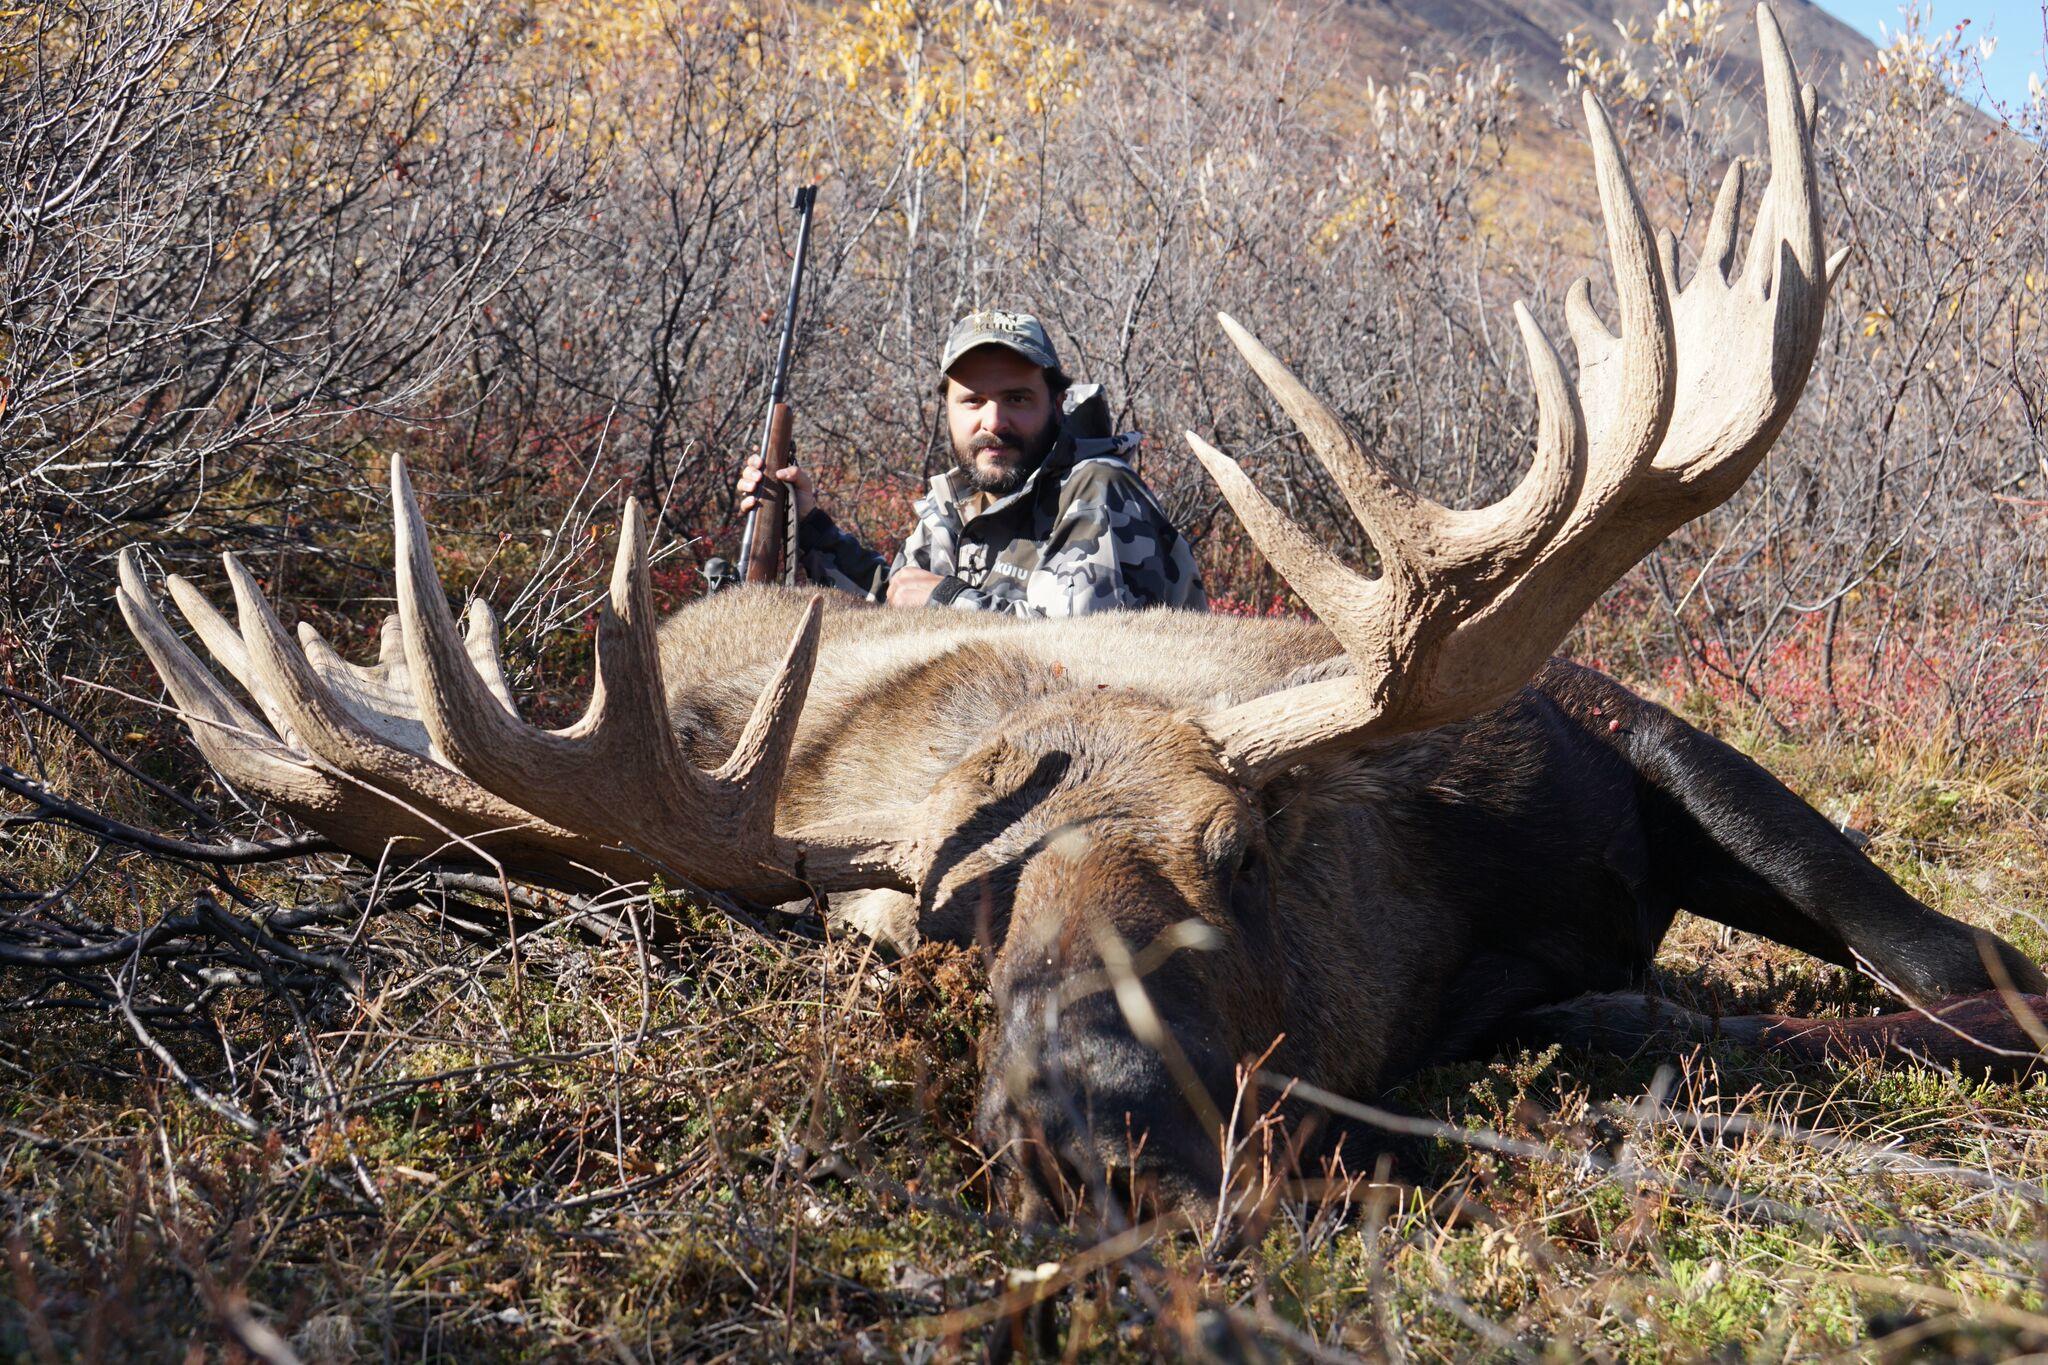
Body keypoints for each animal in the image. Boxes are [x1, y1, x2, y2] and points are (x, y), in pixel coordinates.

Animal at [116, 7, 2048, 1227]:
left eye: (1236, 853)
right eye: (943, 930)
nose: (1091, 1136)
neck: (1425, 920)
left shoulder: (1609, 731)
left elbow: (1953, 967)